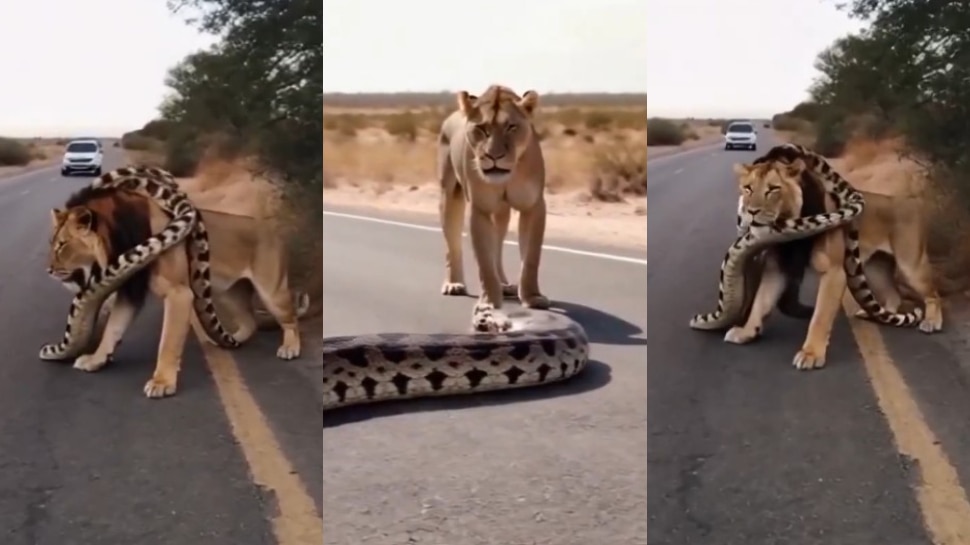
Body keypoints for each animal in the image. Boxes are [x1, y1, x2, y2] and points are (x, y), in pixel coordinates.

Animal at [47, 185, 305, 397]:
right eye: (53, 244)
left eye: (62, 245)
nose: (48, 270)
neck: (120, 242)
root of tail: (272, 229)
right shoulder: (130, 292)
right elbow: (112, 329)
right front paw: (95, 360)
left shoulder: (179, 293)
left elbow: (168, 342)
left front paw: (162, 383)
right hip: (228, 292)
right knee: (249, 320)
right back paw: (230, 339)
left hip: (271, 290)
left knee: (290, 318)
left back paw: (290, 348)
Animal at [436, 84, 550, 329]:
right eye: (481, 128)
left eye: (511, 127)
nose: (493, 156)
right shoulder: (480, 209)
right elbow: (484, 262)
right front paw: (489, 301)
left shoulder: (533, 206)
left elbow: (531, 257)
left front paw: (532, 297)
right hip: (449, 194)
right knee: (452, 244)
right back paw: (454, 284)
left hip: (502, 211)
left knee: (497, 244)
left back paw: (505, 285)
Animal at [728, 156, 942, 369]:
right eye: (748, 188)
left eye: (773, 189)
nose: (751, 211)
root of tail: (911, 201)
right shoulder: (777, 267)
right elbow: (760, 302)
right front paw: (745, 332)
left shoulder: (834, 271)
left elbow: (820, 317)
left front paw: (811, 354)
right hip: (874, 269)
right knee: (893, 295)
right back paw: (876, 315)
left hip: (910, 265)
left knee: (933, 294)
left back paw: (932, 321)